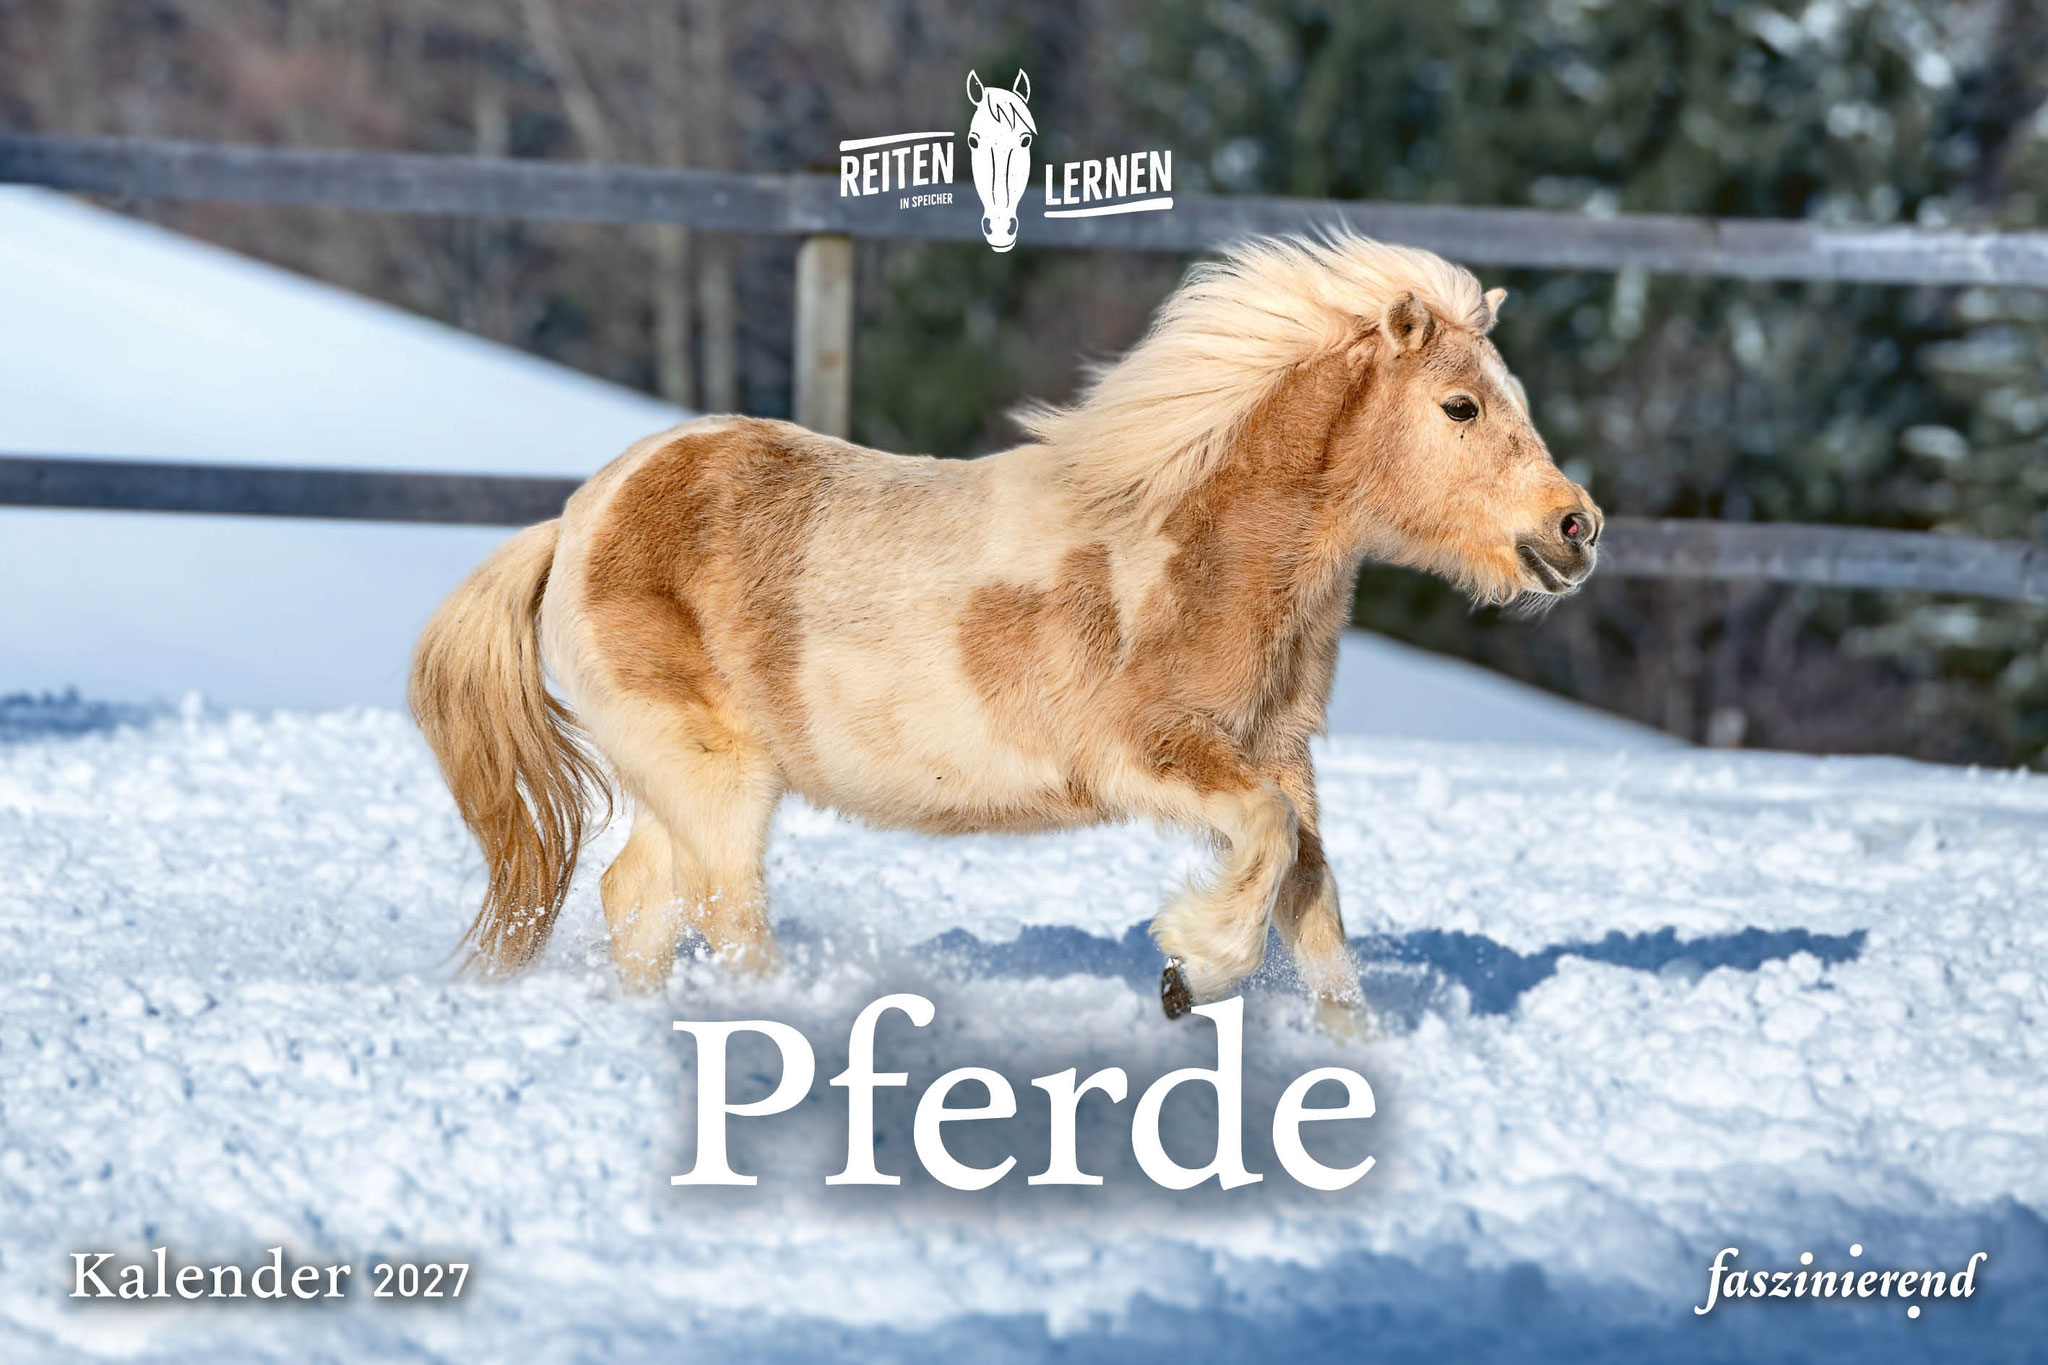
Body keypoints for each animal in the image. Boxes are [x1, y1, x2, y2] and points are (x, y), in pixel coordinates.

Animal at [409, 231, 1602, 1034]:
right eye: (1459, 407)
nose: (1576, 528)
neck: (1197, 545)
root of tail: (579, 517)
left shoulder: (1280, 752)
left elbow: (1316, 914)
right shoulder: (1146, 756)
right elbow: (1263, 852)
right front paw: (1187, 975)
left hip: (681, 779)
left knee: (640, 903)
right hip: (713, 775)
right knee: (724, 910)